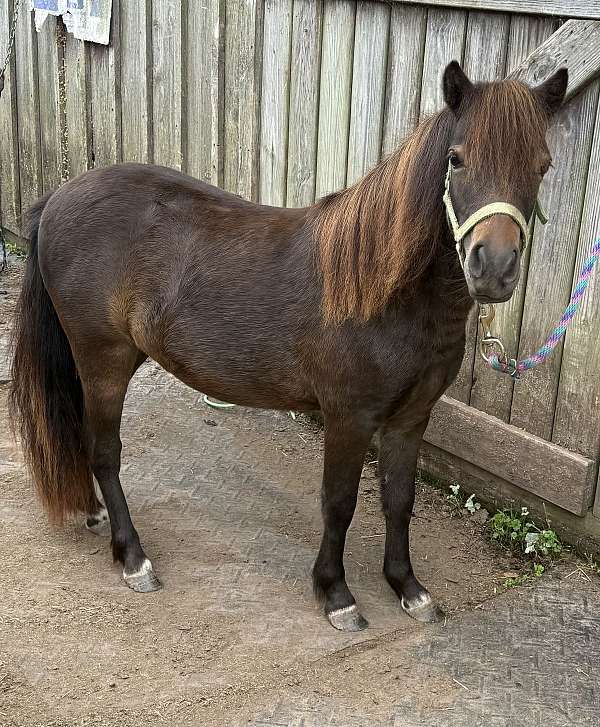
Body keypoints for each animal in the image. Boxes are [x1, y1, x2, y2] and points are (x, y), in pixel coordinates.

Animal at [10, 61, 567, 631]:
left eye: (543, 166)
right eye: (456, 158)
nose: (493, 267)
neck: (386, 294)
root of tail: (56, 200)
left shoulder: (411, 419)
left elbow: (399, 500)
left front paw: (407, 587)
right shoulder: (349, 418)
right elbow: (340, 503)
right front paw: (336, 593)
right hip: (104, 360)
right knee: (105, 451)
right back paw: (133, 557)